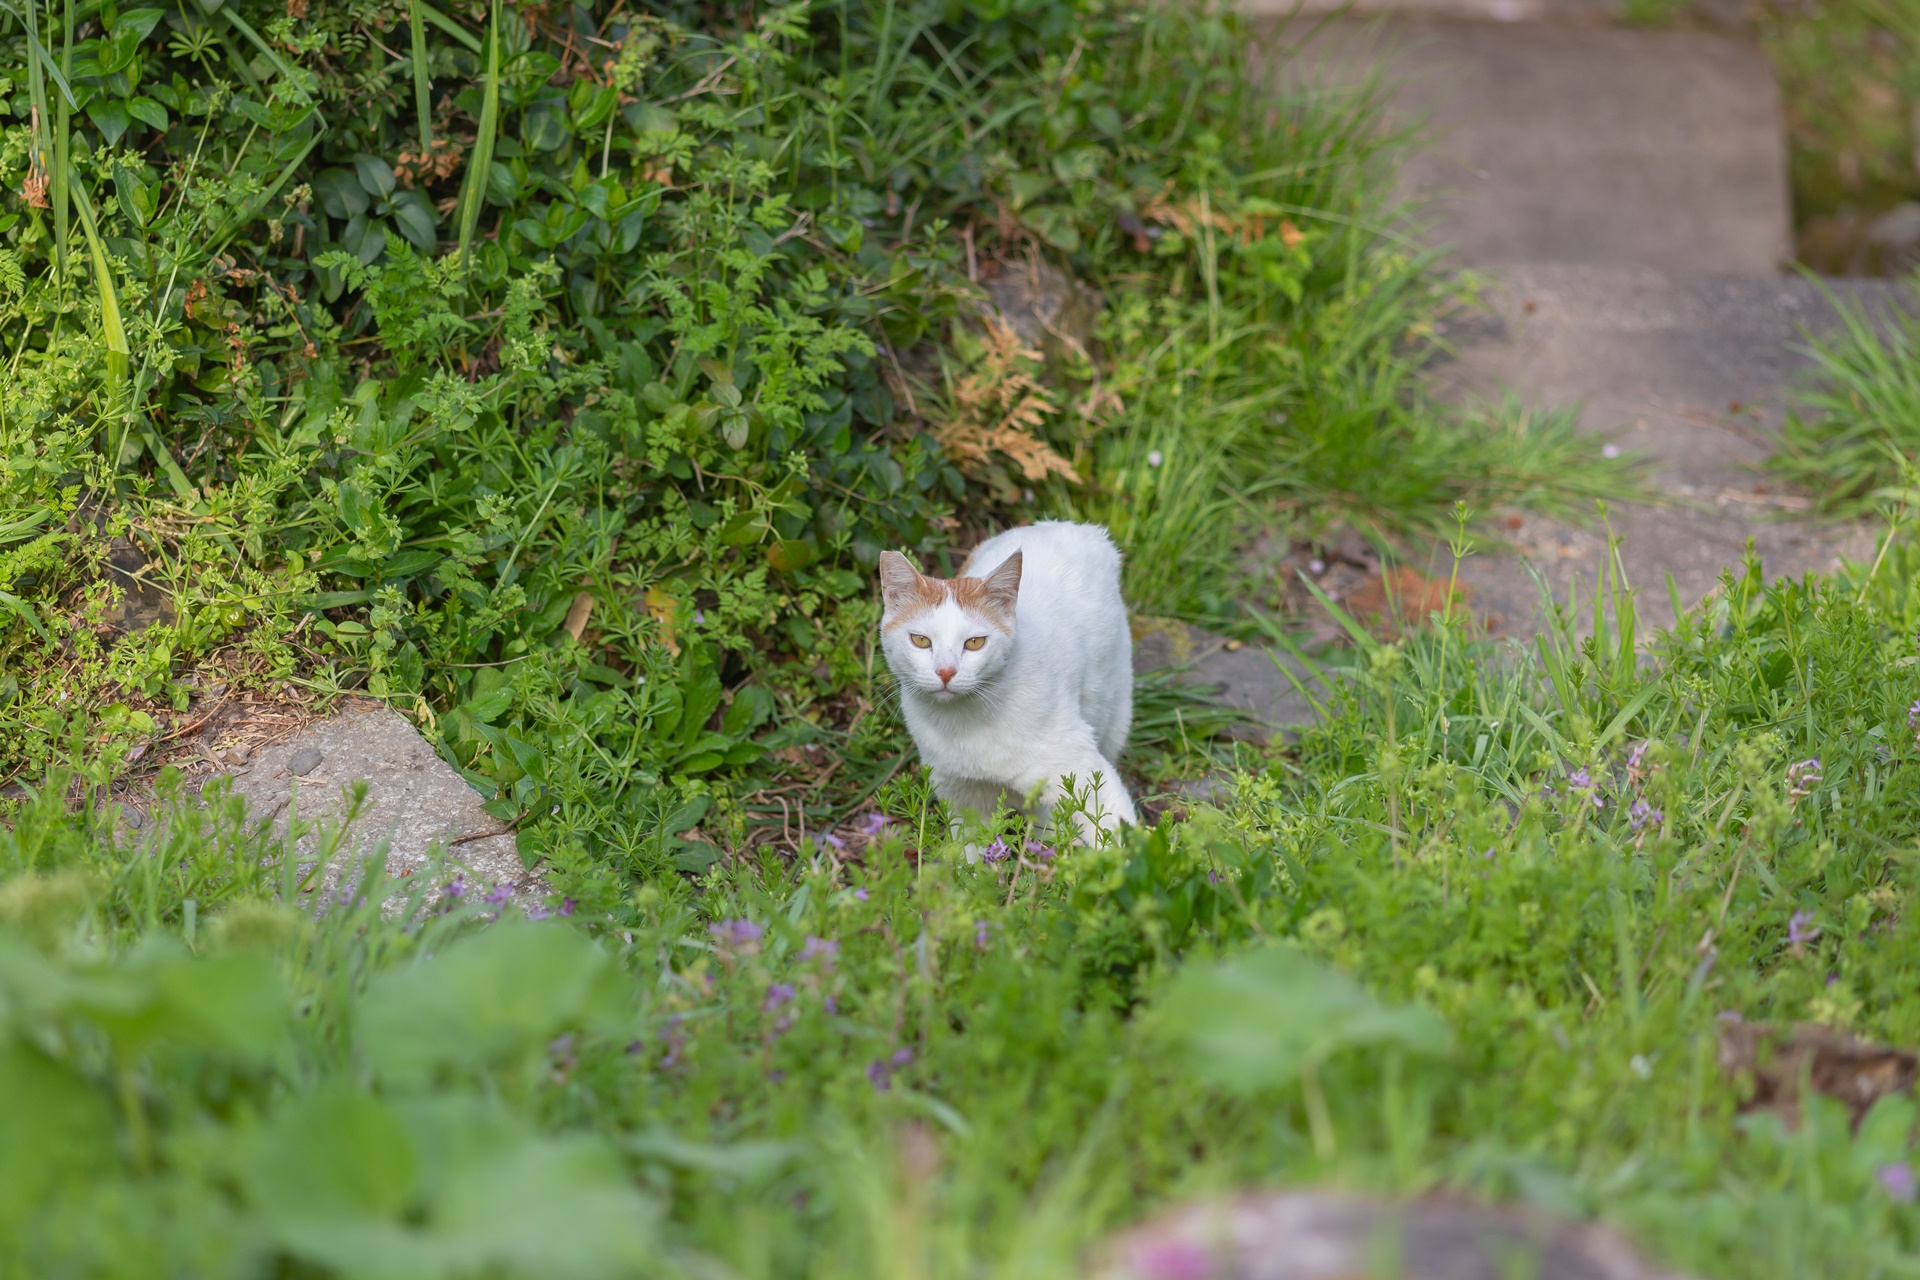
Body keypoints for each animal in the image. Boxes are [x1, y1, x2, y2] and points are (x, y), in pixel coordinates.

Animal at [878, 520, 1137, 844]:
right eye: (921, 640)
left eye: (975, 642)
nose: (946, 672)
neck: (966, 726)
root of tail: (1079, 527)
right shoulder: (961, 798)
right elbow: (968, 853)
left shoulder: (1087, 778)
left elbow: (1118, 840)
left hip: (1114, 716)